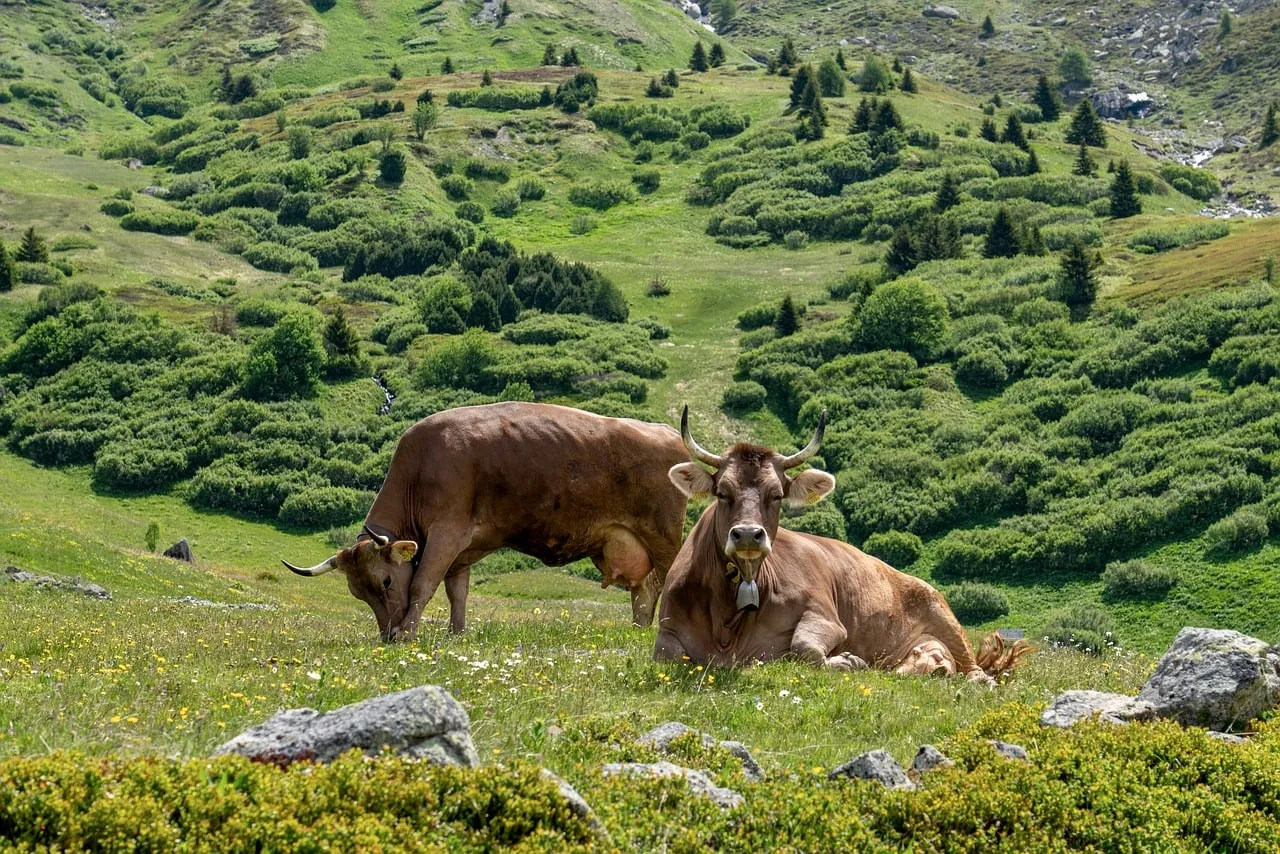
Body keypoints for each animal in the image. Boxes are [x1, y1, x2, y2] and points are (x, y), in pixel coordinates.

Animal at [283, 402, 691, 642]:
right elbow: (457, 592)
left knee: (668, 578)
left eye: (385, 580)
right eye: (358, 593)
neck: (420, 469)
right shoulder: (462, 548)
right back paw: (638, 630)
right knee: (645, 589)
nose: (387, 635)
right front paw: (456, 634)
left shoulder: (446, 534)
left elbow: (422, 585)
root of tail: (667, 432)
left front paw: (409, 635)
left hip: (663, 534)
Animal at [654, 406, 1031, 683]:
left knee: (976, 671)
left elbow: (804, 648)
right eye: (722, 492)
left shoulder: (825, 615)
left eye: (776, 495)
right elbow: (667, 656)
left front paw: (847, 660)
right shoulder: (666, 632)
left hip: (946, 620)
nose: (748, 534)